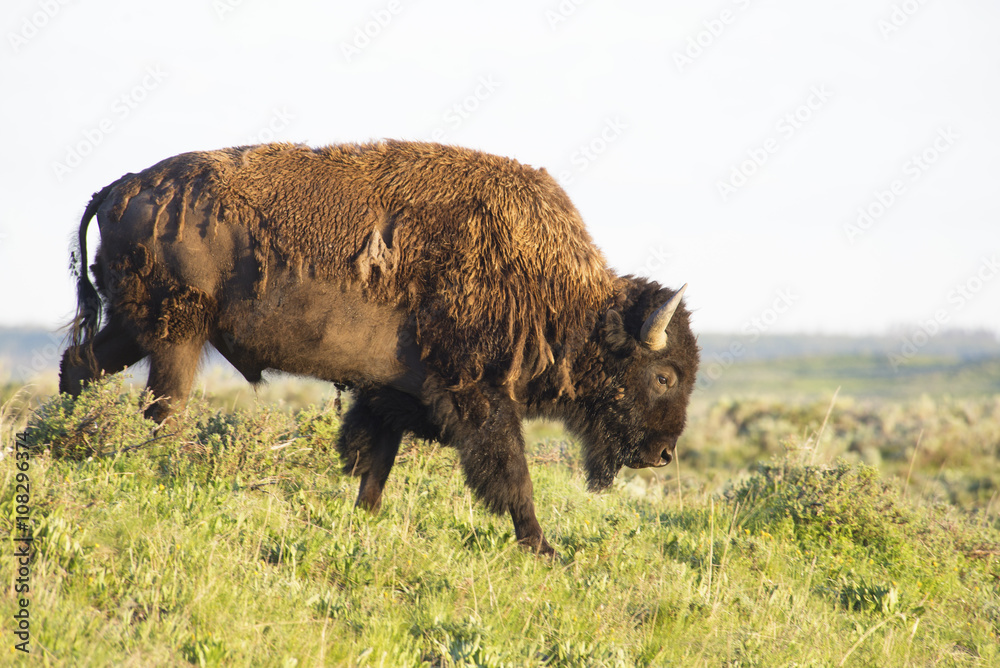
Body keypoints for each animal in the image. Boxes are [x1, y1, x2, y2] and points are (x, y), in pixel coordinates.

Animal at [60, 141, 696, 552]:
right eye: (663, 375)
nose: (664, 454)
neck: (556, 290)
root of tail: (120, 188)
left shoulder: (390, 394)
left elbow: (375, 461)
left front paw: (365, 517)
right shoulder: (480, 396)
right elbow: (512, 473)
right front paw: (542, 546)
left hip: (137, 326)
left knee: (82, 364)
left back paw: (57, 440)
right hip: (177, 335)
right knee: (162, 407)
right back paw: (151, 464)